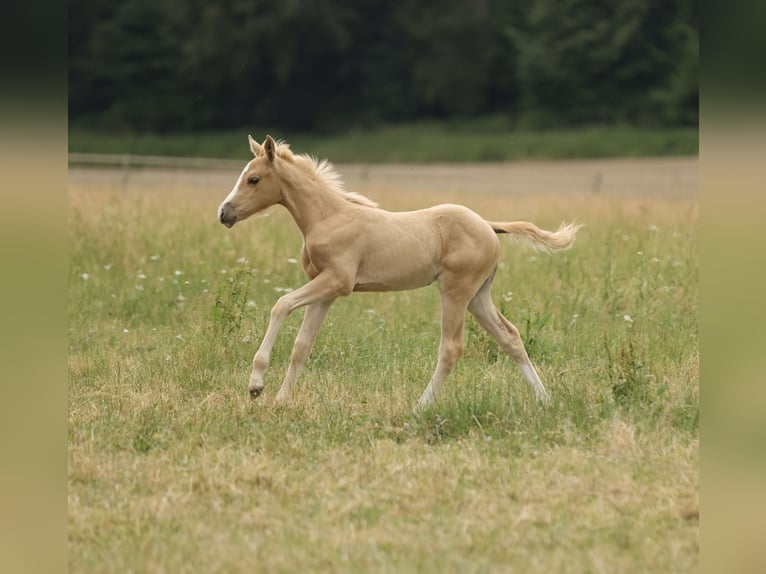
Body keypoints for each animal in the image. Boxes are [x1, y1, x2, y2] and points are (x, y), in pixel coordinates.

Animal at [218, 135, 581, 410]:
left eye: (253, 179)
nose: (224, 213)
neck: (327, 217)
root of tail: (489, 227)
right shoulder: (325, 292)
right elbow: (302, 346)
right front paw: (281, 401)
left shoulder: (337, 282)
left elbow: (280, 305)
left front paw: (256, 385)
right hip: (479, 296)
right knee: (510, 337)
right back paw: (545, 400)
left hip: (455, 291)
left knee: (451, 347)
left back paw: (420, 406)